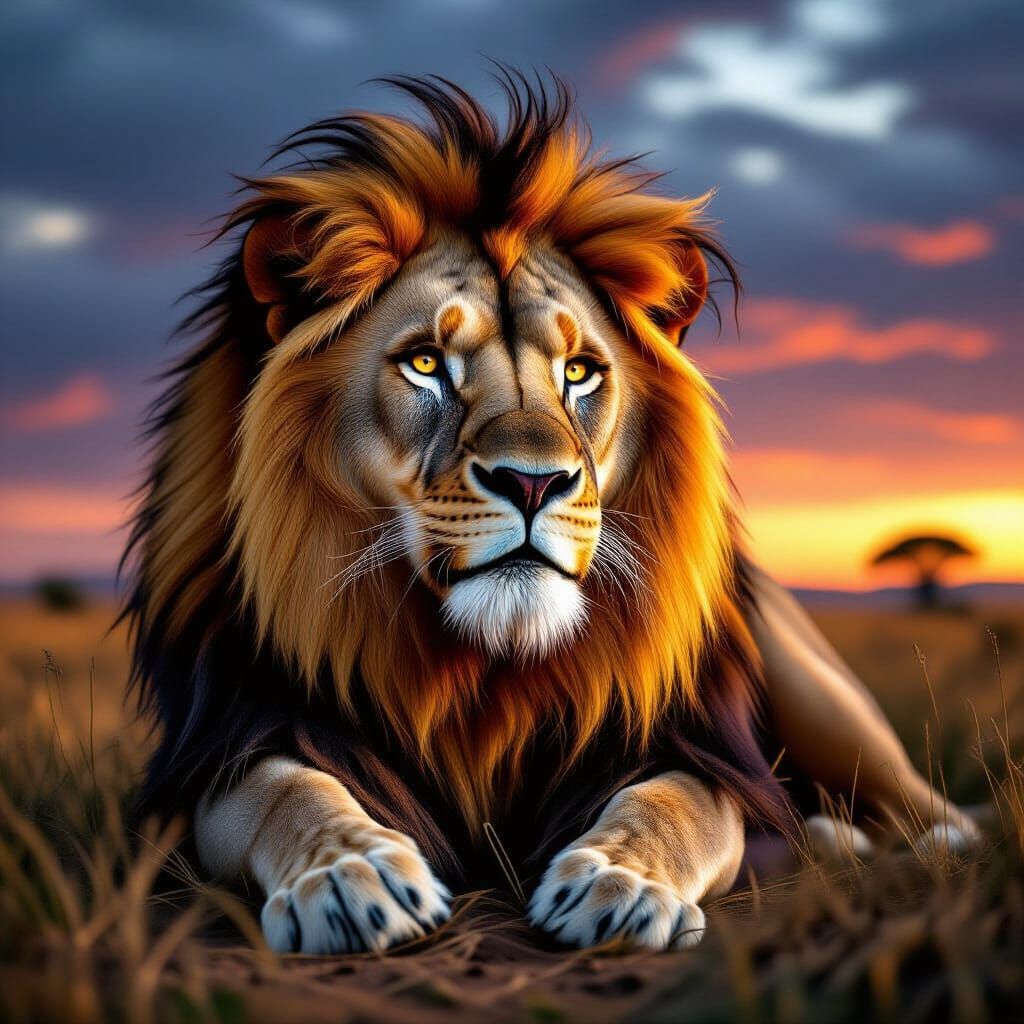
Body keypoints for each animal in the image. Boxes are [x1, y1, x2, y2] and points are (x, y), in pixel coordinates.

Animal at [125, 73, 978, 955]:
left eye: (579, 372)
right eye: (425, 363)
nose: (534, 484)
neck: (484, 676)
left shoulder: (693, 747)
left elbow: (672, 804)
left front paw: (620, 884)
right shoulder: (227, 743)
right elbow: (286, 790)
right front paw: (349, 878)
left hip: (819, 697)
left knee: (919, 803)